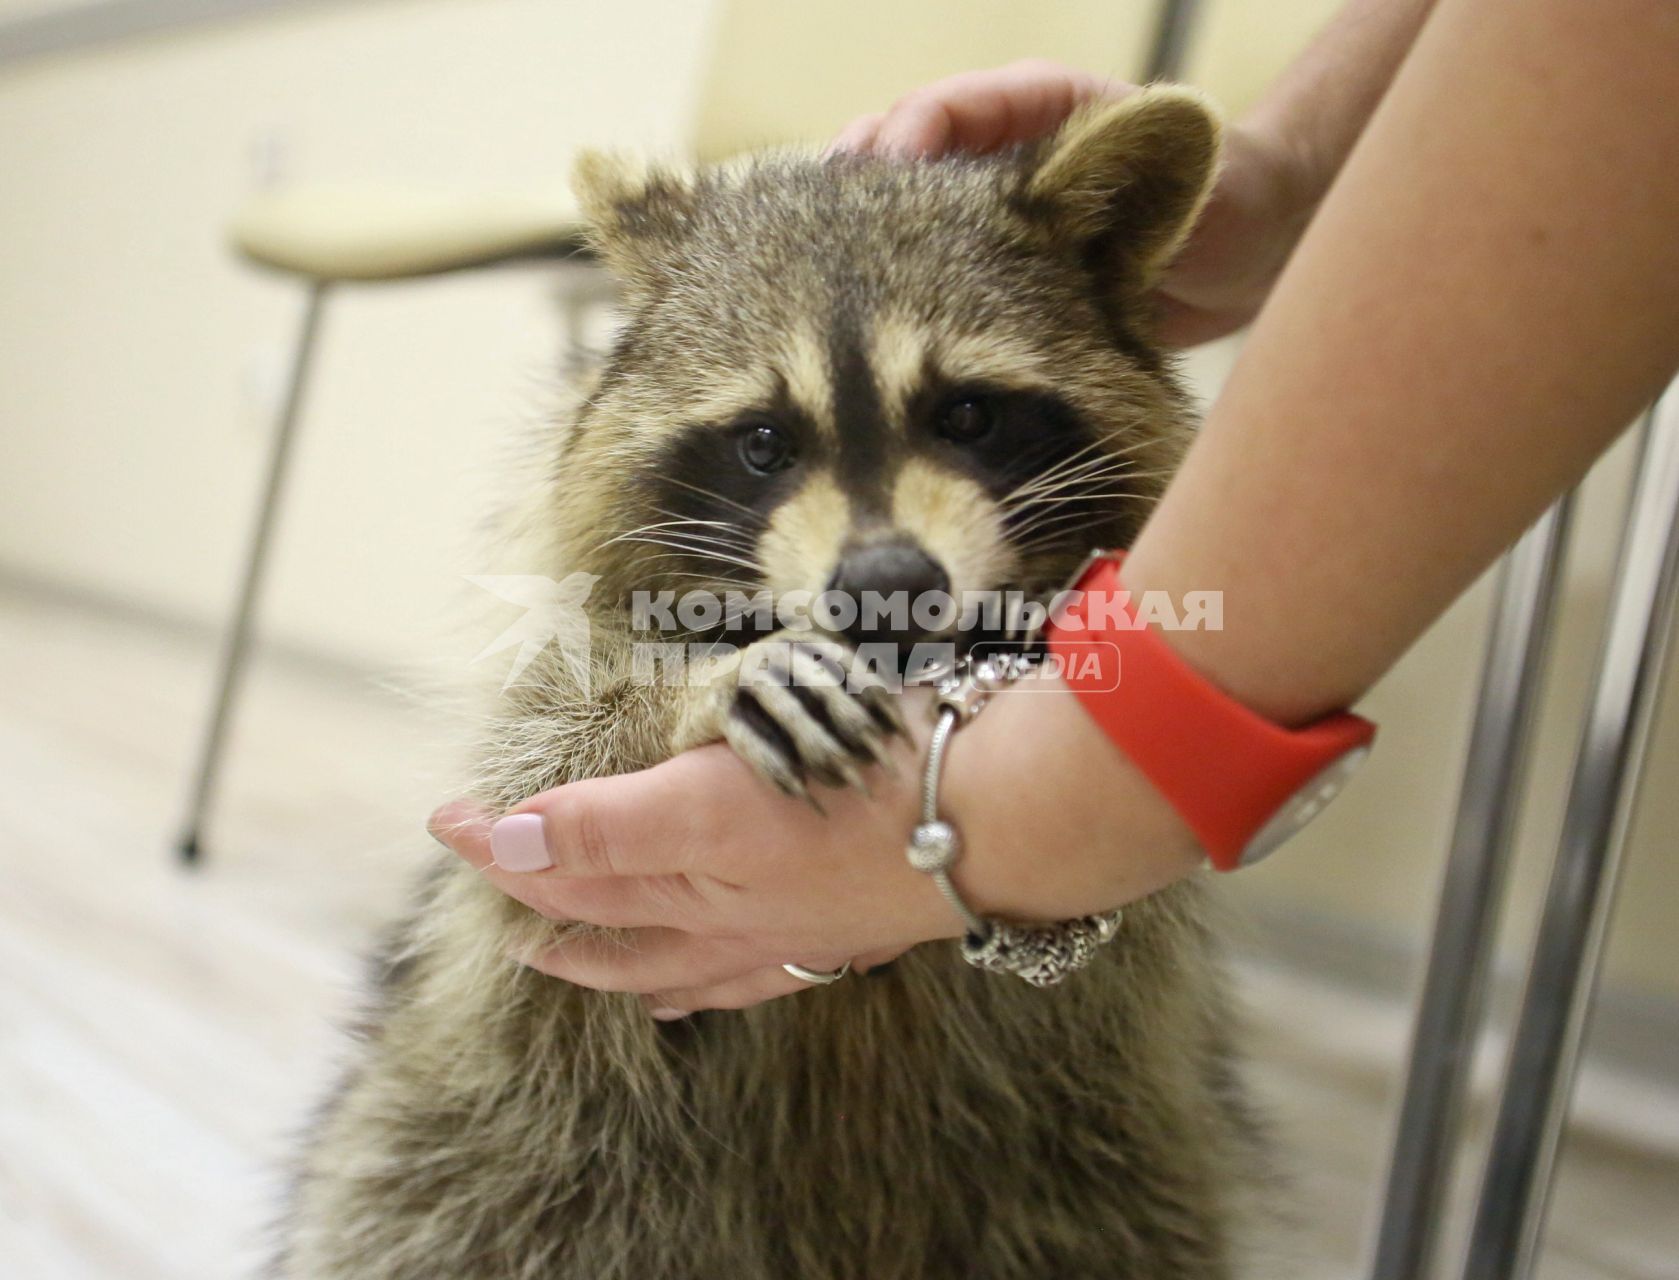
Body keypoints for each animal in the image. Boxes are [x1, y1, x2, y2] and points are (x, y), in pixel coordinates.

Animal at [275, 84, 1262, 1269]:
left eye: (966, 415)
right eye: (762, 441)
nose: (886, 582)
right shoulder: (540, 758)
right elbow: (537, 776)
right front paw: (690, 693)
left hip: (1099, 1165)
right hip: (474, 1141)